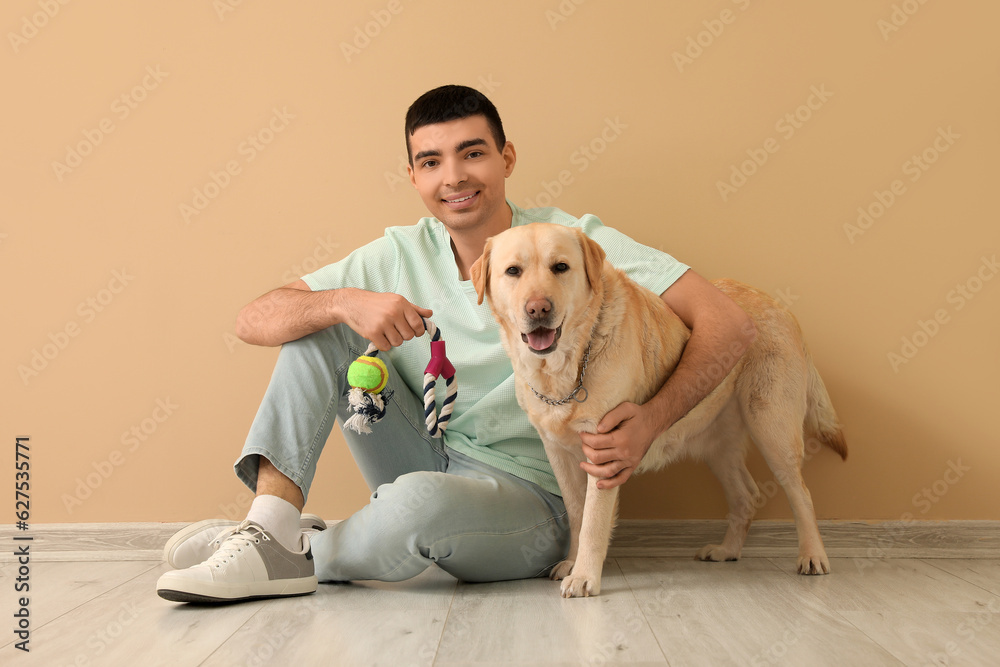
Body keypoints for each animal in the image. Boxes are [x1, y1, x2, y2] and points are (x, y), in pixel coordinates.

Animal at [468, 224, 844, 600]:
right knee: (746, 496)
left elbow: (593, 522)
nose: (538, 309)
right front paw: (573, 564)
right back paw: (728, 551)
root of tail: (780, 306)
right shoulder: (558, 453)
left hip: (772, 429)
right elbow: (576, 513)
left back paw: (813, 556)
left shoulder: (605, 453)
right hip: (718, 445)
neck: (568, 366)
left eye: (560, 267)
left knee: (801, 494)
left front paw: (585, 576)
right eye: (513, 271)